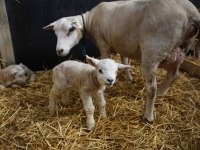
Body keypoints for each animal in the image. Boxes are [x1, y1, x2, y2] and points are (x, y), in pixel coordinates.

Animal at [43, 0, 200, 122]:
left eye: (70, 29)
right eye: (55, 32)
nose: (59, 51)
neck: (90, 20)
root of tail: (191, 12)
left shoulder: (103, 44)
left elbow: (106, 58)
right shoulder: (122, 44)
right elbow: (124, 59)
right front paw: (128, 78)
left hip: (154, 49)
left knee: (151, 88)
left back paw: (148, 116)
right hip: (179, 50)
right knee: (173, 75)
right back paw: (161, 93)